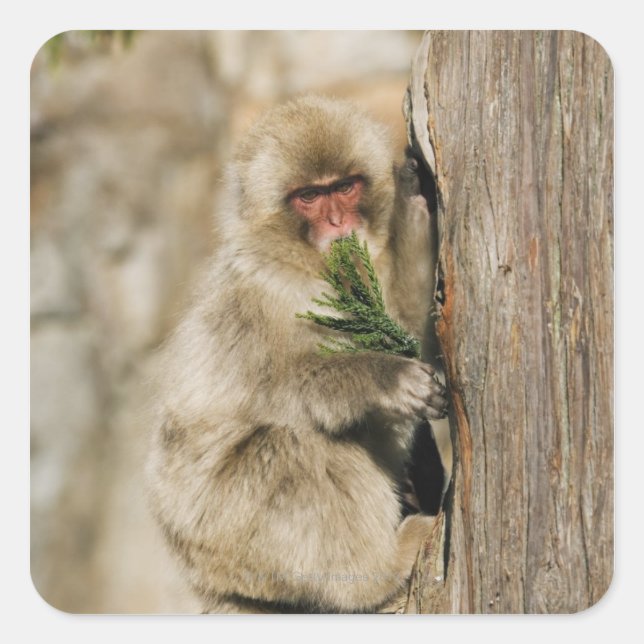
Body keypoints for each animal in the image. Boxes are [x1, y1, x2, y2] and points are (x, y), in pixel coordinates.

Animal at [146, 95, 447, 613]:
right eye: (309, 197)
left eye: (344, 187)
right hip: (228, 532)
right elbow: (285, 388)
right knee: (297, 445)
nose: (338, 224)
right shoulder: (274, 287)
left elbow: (405, 337)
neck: (303, 259)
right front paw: (385, 378)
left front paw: (411, 206)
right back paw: (376, 573)